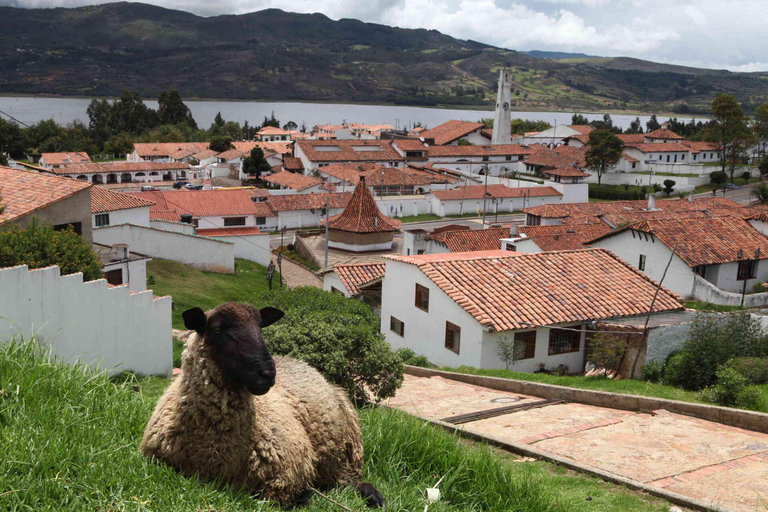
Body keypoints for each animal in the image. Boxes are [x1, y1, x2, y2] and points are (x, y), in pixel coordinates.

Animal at [140, 302, 384, 506]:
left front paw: (305, 495)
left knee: (352, 481)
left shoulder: (288, 475)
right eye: (217, 329)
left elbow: (286, 497)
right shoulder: (157, 461)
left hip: (346, 454)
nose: (267, 374)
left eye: (260, 327)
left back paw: (374, 496)